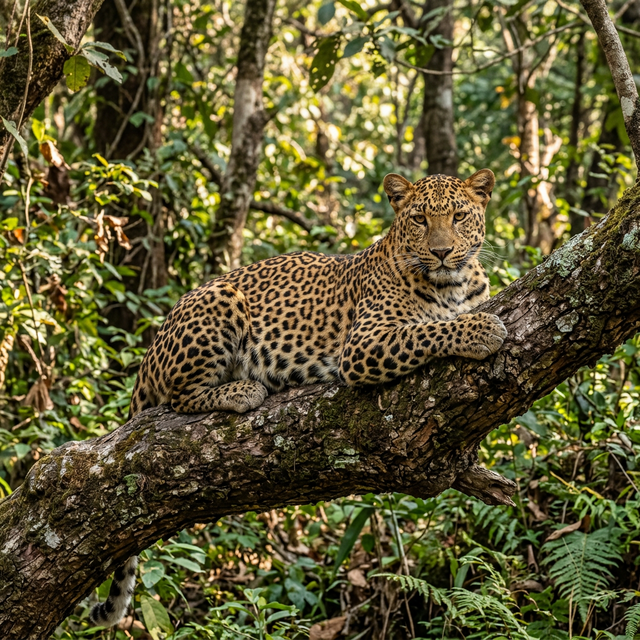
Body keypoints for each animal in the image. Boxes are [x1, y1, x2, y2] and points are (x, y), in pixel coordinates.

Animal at [90, 168, 507, 627]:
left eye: (459, 216)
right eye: (419, 219)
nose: (442, 252)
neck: (453, 285)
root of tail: (150, 352)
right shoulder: (363, 345)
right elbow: (429, 330)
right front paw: (481, 329)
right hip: (220, 300)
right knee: (179, 396)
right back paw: (244, 390)